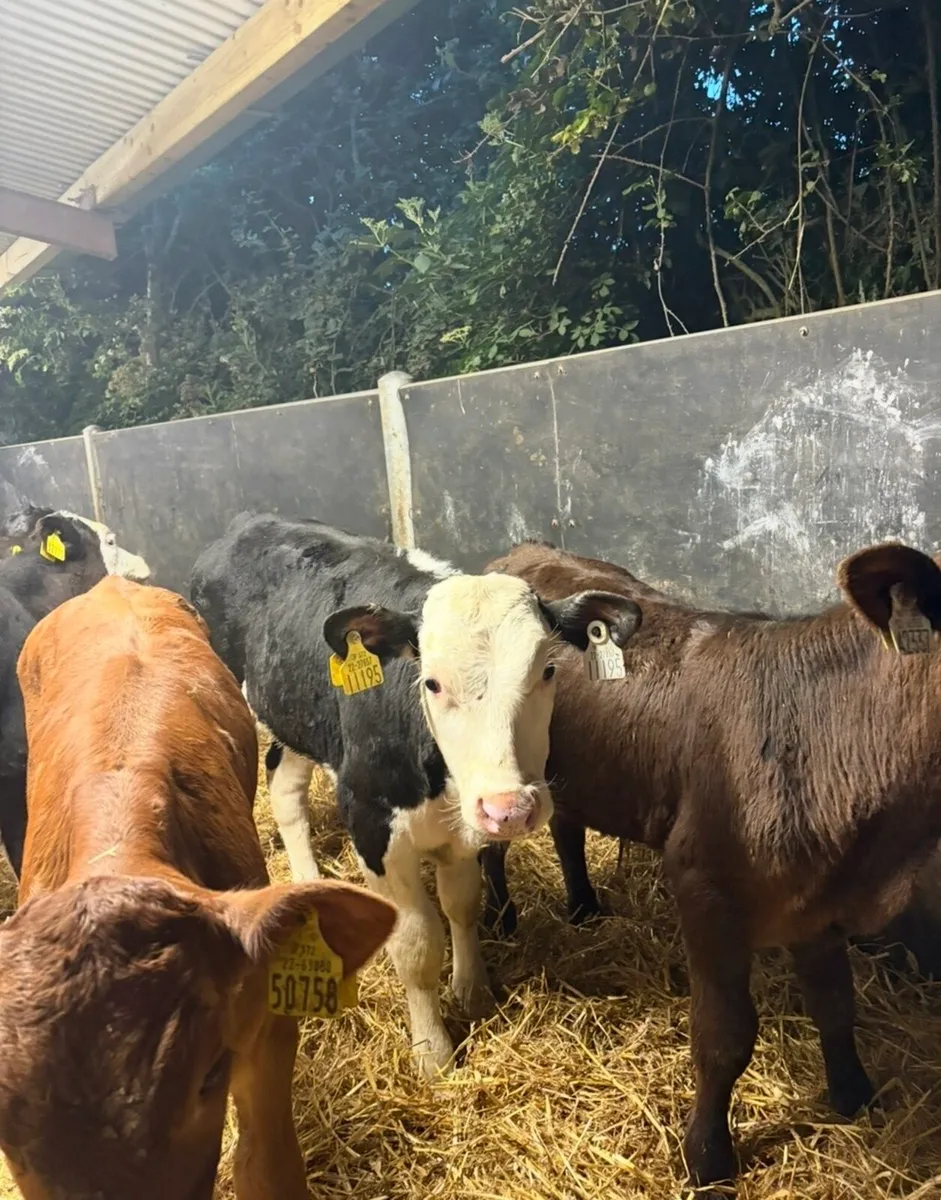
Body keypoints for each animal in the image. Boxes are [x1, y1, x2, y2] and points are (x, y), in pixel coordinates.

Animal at [190, 513, 642, 1078]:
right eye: (431, 683)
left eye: (548, 671)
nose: (510, 810)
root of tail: (249, 520)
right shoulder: (373, 825)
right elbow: (416, 944)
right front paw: (433, 1050)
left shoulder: (462, 831)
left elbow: (462, 906)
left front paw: (474, 993)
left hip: (299, 721)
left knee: (285, 784)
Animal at [479, 538, 941, 1191]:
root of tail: (519, 553)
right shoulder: (705, 890)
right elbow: (723, 1037)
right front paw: (708, 1157)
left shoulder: (820, 901)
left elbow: (835, 1005)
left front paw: (854, 1094)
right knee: (490, 843)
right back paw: (500, 916)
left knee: (567, 825)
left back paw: (584, 906)